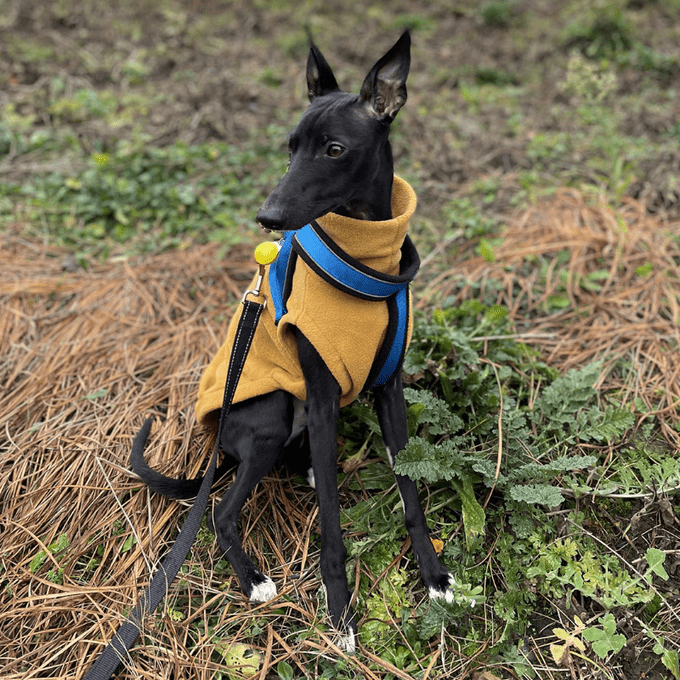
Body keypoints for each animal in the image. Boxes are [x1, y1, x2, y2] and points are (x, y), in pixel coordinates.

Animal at [130, 31, 454, 652]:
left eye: (333, 149)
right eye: (289, 147)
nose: (267, 217)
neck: (363, 264)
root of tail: (220, 446)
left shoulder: (390, 392)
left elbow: (410, 494)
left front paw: (433, 575)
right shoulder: (323, 401)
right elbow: (331, 526)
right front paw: (340, 613)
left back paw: (304, 468)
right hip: (272, 412)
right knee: (219, 512)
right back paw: (253, 579)